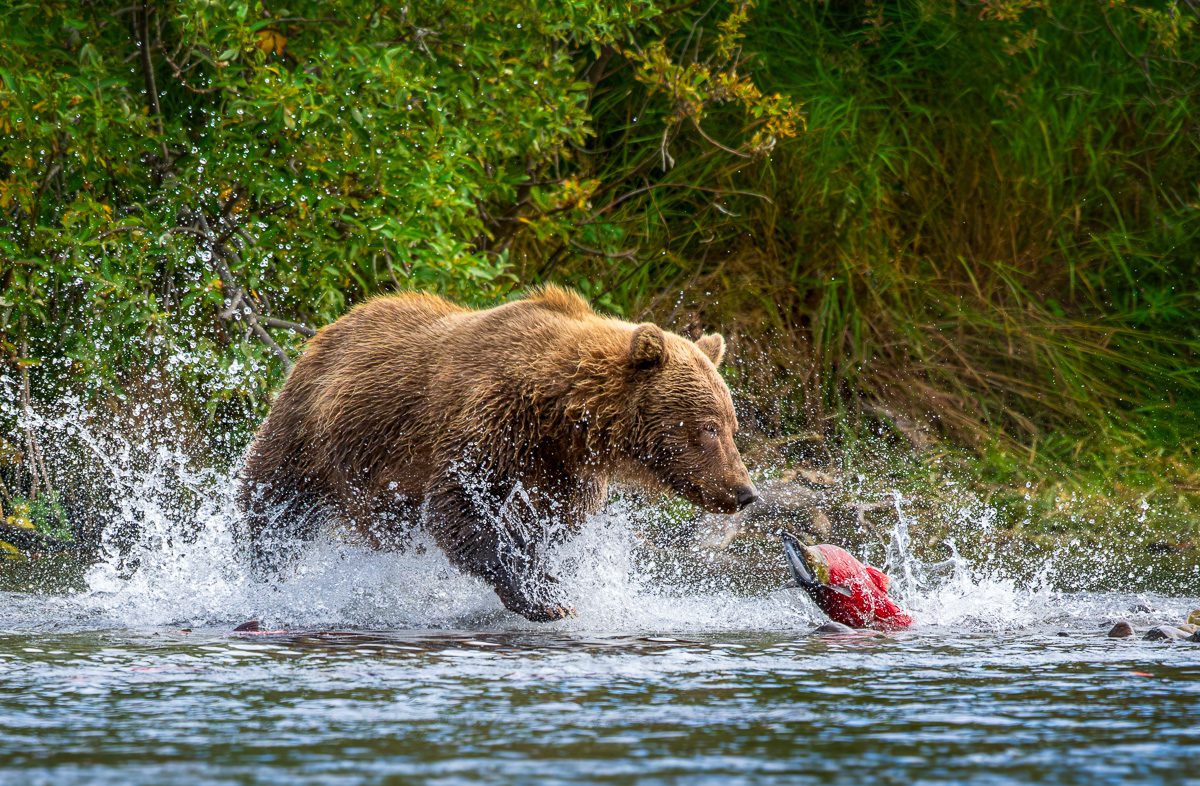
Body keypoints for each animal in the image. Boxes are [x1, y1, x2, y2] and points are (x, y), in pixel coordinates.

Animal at [237, 286, 758, 621]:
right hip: (309, 432)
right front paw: (545, 596)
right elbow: (460, 506)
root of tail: (327, 329)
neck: (562, 413)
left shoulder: (564, 469)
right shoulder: (492, 422)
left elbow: (552, 523)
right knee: (271, 507)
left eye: (732, 425)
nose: (745, 491)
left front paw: (545, 574)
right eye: (709, 428)